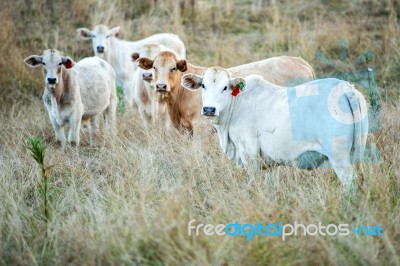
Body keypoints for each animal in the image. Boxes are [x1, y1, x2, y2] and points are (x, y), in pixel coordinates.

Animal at [181, 67, 368, 191]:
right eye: (203, 85)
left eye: (225, 87)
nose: (209, 109)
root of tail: (344, 87)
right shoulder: (270, 163)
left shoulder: (249, 153)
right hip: (356, 151)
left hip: (339, 157)